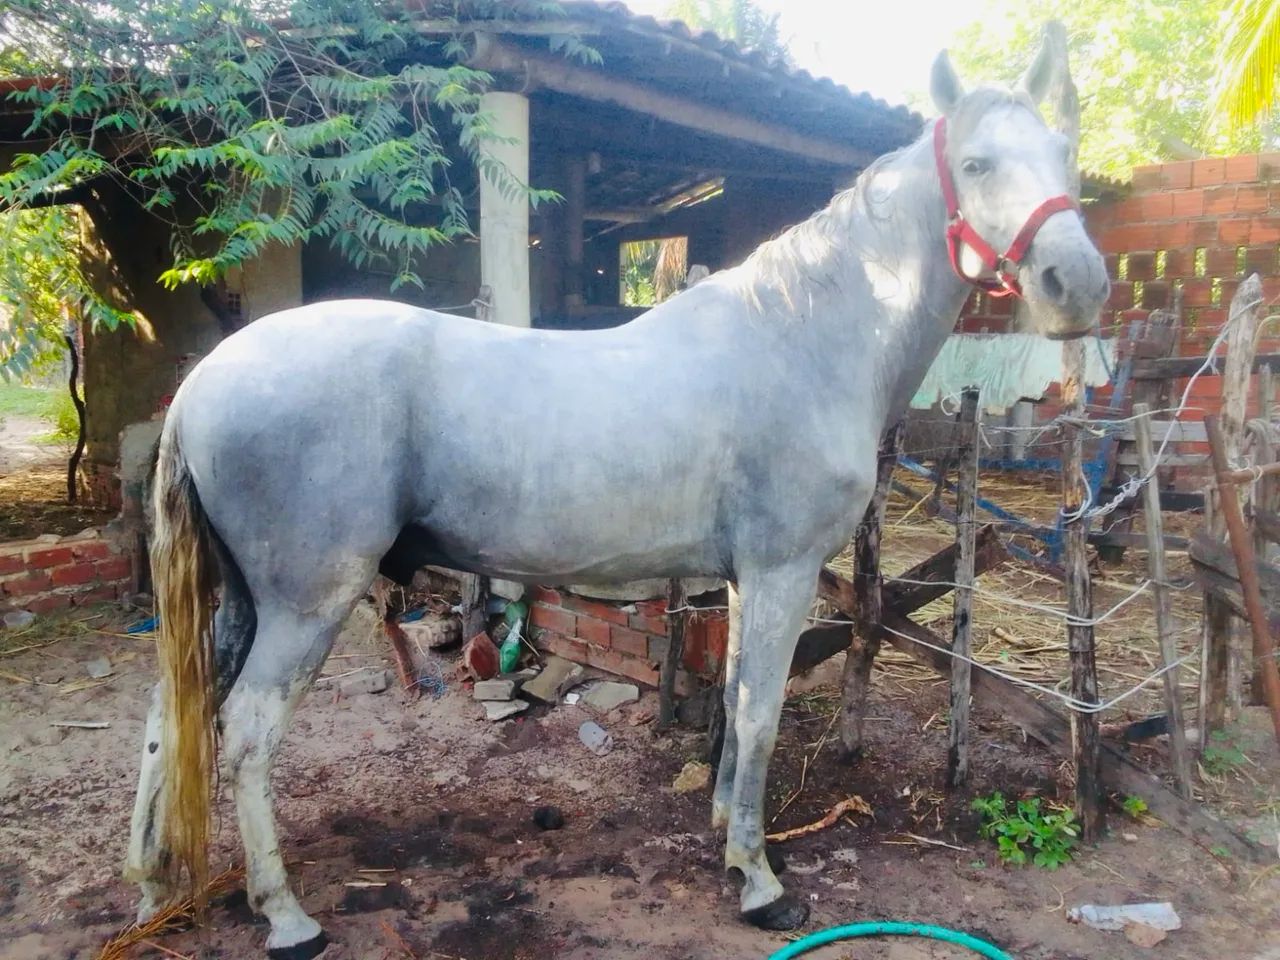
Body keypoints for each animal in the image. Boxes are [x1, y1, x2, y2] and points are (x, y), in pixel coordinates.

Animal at [125, 43, 1108, 958]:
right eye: (976, 163)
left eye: (1064, 152)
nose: (1080, 286)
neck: (800, 339)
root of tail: (206, 379)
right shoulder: (785, 571)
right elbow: (761, 712)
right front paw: (760, 883)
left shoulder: (748, 577)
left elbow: (738, 698)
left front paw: (726, 831)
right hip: (307, 603)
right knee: (248, 732)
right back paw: (286, 915)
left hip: (242, 602)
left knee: (173, 719)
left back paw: (154, 883)